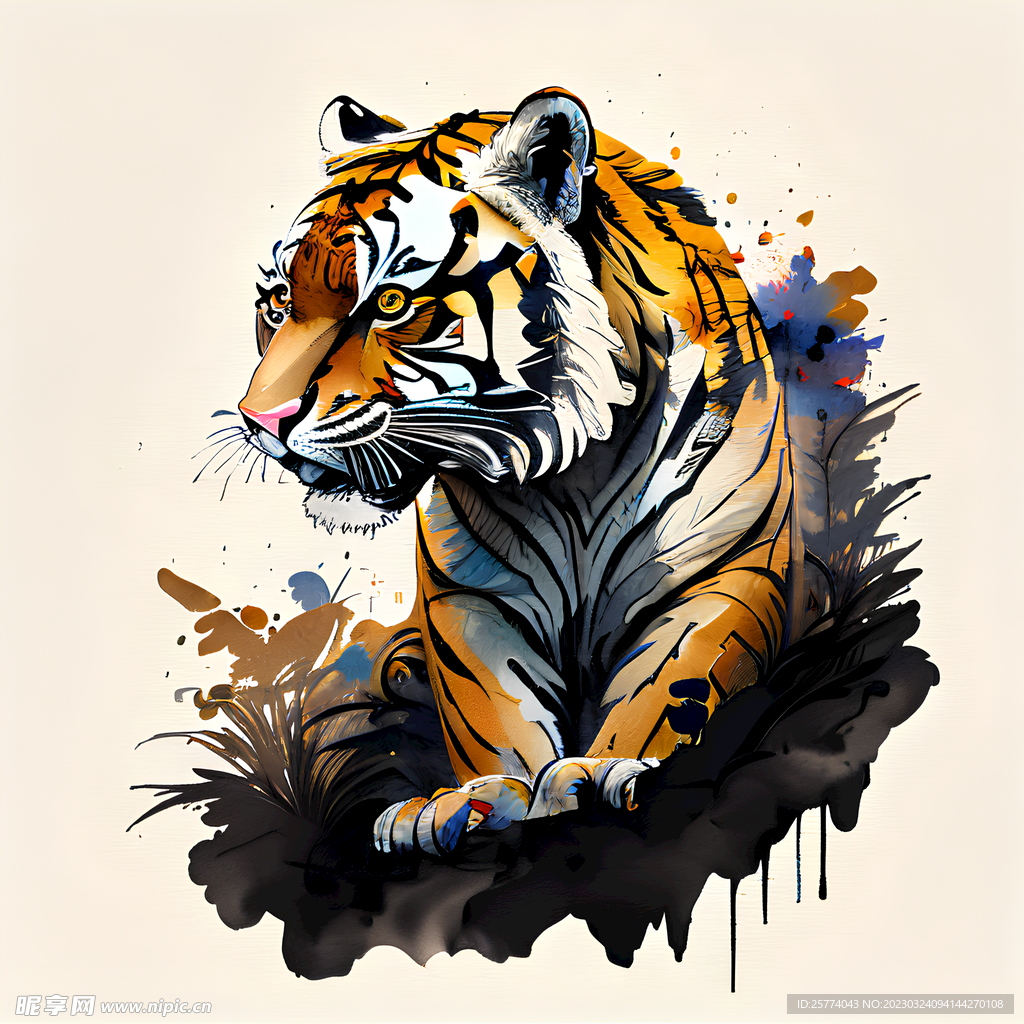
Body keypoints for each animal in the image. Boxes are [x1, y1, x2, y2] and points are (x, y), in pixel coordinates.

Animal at [238, 88, 794, 858]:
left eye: (390, 305)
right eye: (278, 304)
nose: (262, 420)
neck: (574, 473)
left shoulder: (727, 573)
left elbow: (673, 684)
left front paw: (604, 767)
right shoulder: (475, 599)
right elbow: (494, 708)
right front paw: (478, 800)